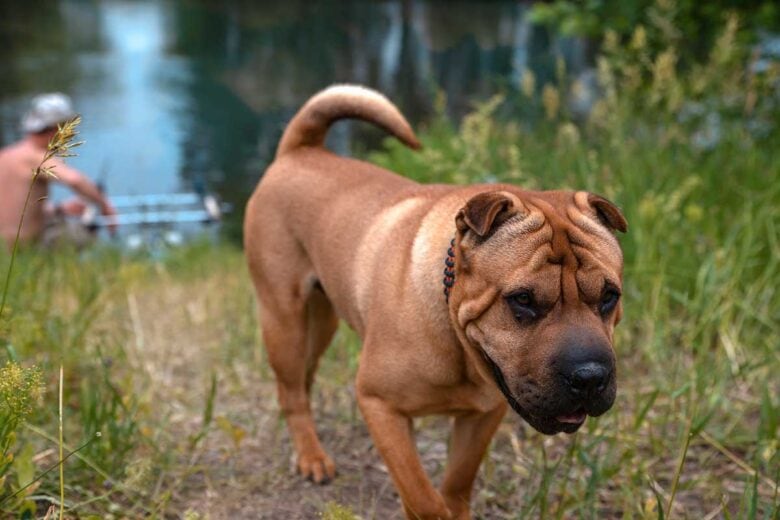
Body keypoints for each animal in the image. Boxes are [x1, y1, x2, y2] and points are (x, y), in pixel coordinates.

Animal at [244, 86, 628, 520]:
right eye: (523, 300)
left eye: (609, 296)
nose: (590, 377)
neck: (456, 332)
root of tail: (299, 150)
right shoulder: (381, 406)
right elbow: (423, 497)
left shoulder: (483, 415)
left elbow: (457, 482)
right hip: (284, 318)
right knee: (291, 390)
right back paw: (311, 456)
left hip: (321, 319)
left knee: (302, 378)